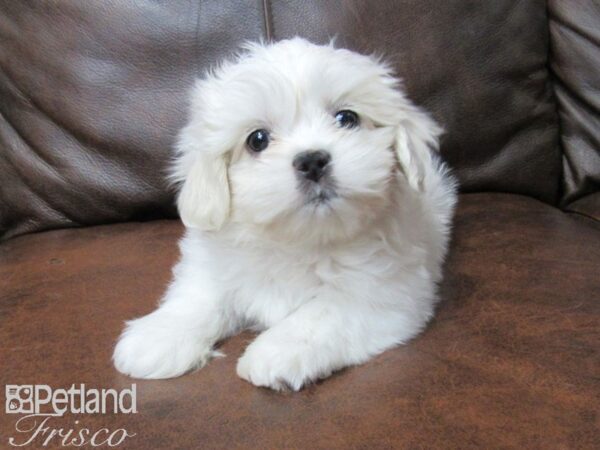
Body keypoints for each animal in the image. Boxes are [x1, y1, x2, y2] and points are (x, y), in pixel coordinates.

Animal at [115, 37, 458, 390]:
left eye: (346, 119)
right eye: (257, 140)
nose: (312, 161)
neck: (299, 240)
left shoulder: (384, 292)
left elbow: (323, 314)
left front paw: (276, 352)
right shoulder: (213, 265)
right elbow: (200, 295)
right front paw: (158, 337)